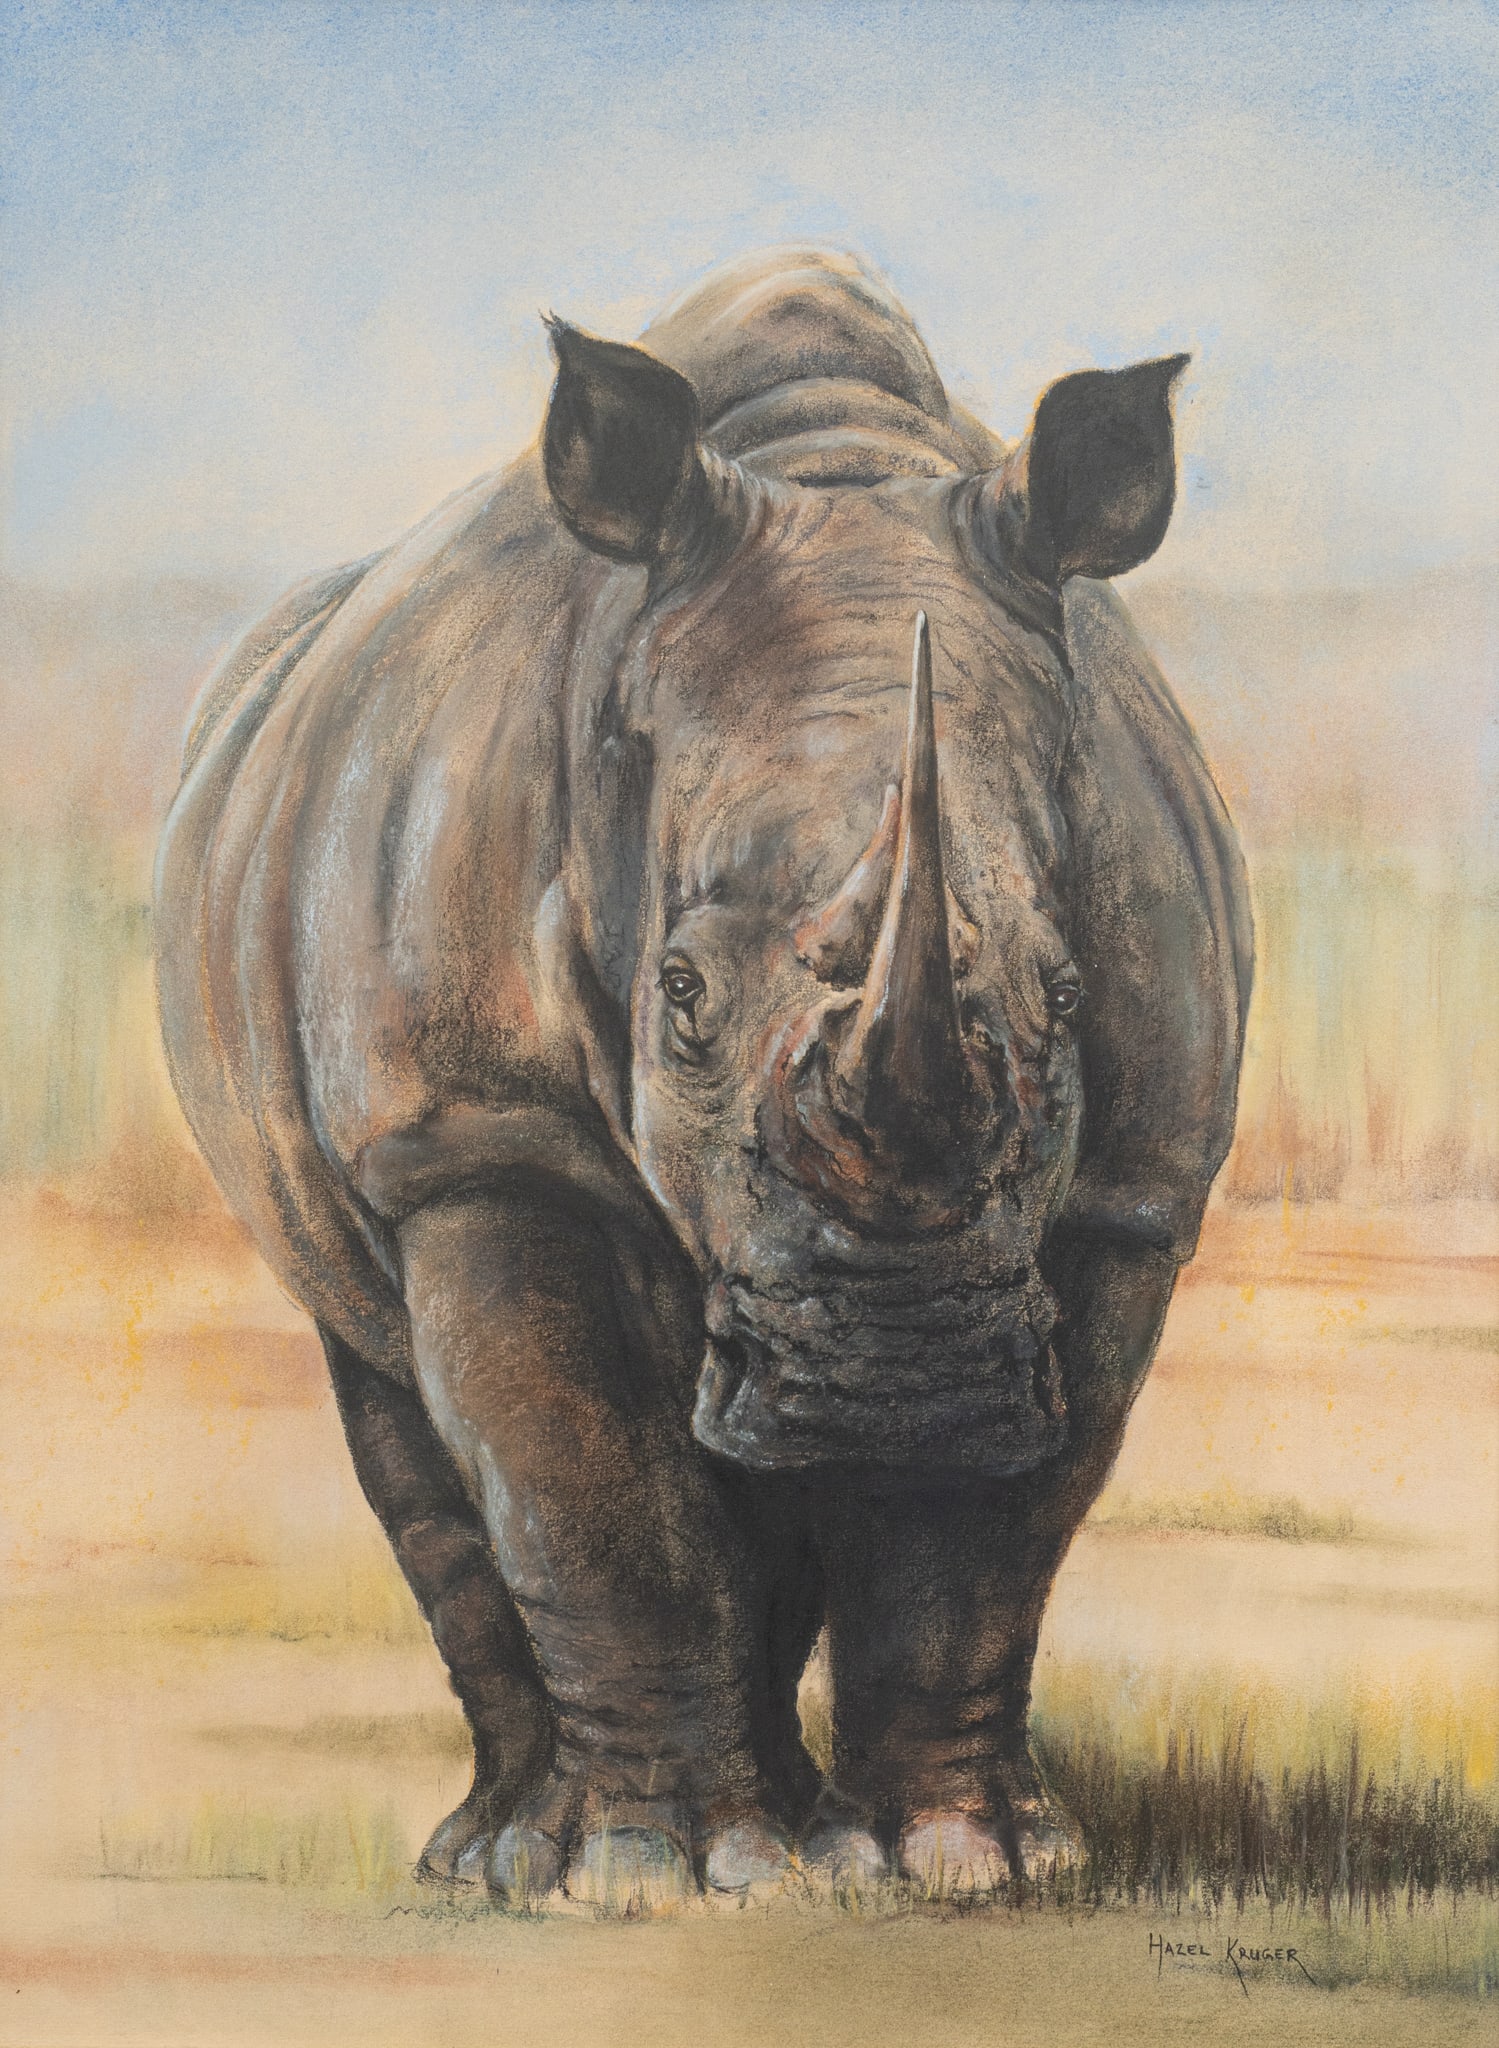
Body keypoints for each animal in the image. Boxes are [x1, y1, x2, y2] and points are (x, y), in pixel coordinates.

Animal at [156, 248, 1250, 1904]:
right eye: (675, 998)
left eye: (1065, 998)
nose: (898, 1380)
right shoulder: (479, 1137)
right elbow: (588, 1492)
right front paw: (649, 1874)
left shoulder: (1129, 1192)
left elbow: (985, 1539)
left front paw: (956, 1865)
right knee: (404, 1408)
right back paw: (498, 1854)